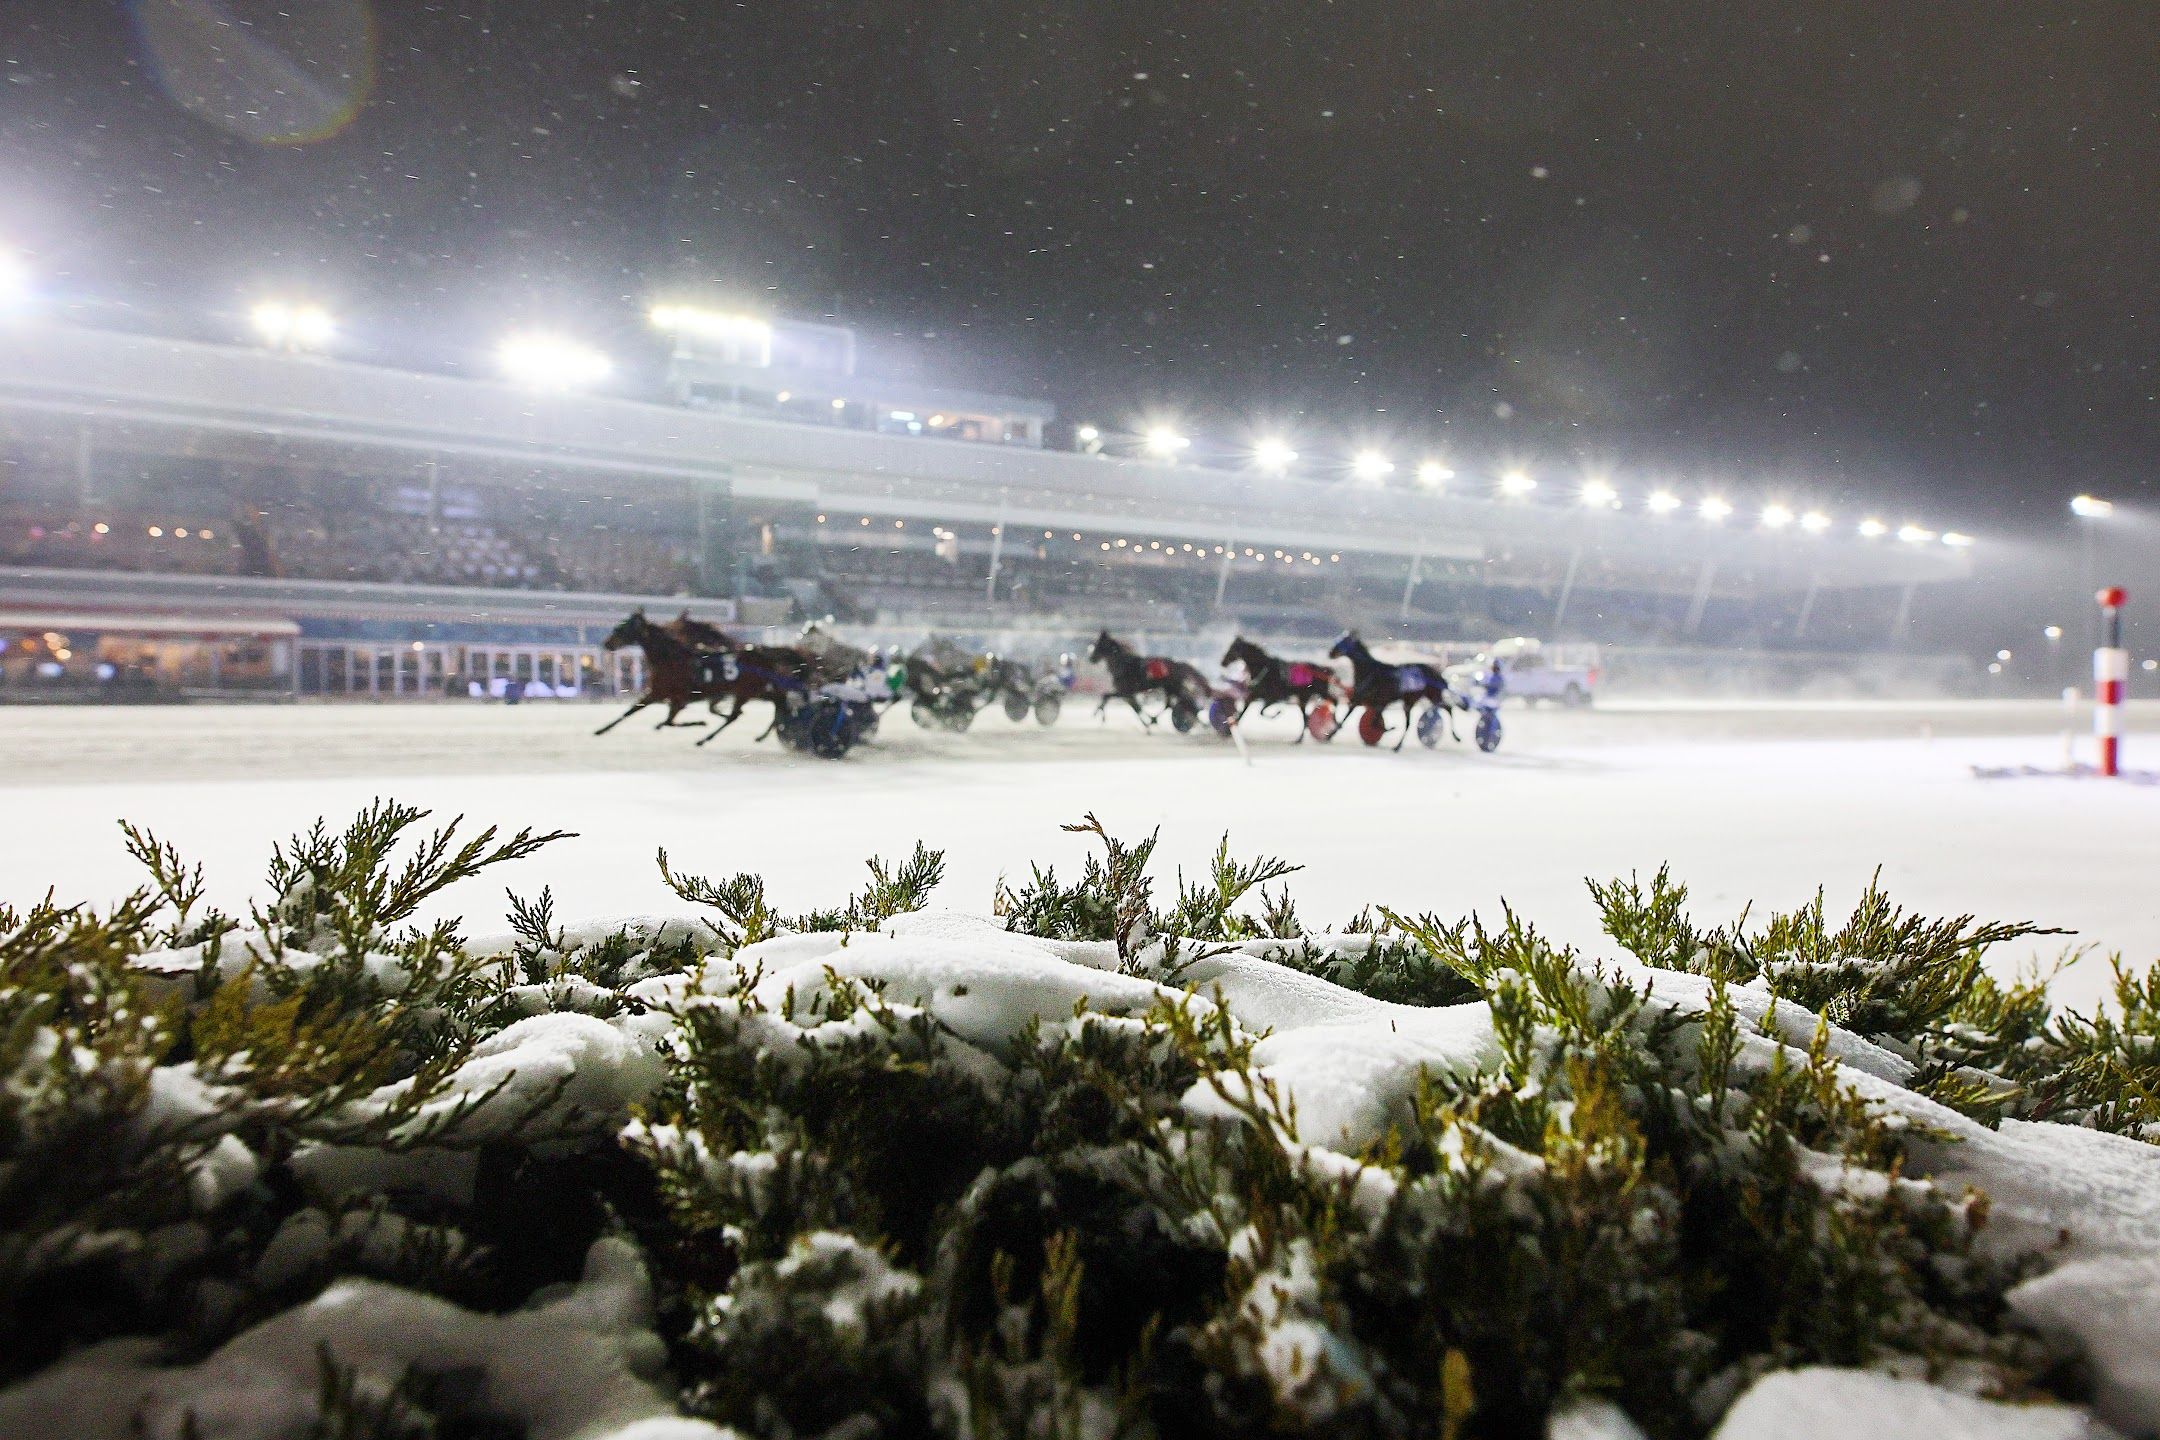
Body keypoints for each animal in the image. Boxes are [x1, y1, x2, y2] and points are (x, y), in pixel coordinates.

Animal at [1080, 630, 1218, 734]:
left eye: (1099, 645)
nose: (1091, 659)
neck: (1124, 665)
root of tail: (1179, 664)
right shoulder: (1128, 695)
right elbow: (1136, 708)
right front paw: (1147, 725)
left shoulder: (1125, 692)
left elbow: (1107, 696)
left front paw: (1099, 714)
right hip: (1169, 689)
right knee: (1170, 704)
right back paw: (1155, 720)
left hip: (1175, 688)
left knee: (1188, 704)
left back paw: (1203, 724)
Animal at [1321, 634, 1460, 759]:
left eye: (1343, 642)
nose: (1330, 653)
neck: (1370, 672)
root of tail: (1435, 672)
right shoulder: (1366, 701)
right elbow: (1359, 720)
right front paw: (1330, 735)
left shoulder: (1377, 702)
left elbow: (1370, 722)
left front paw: (1388, 728)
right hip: (1415, 699)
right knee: (1414, 721)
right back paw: (1398, 746)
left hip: (1429, 696)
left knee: (1448, 709)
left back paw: (1456, 736)